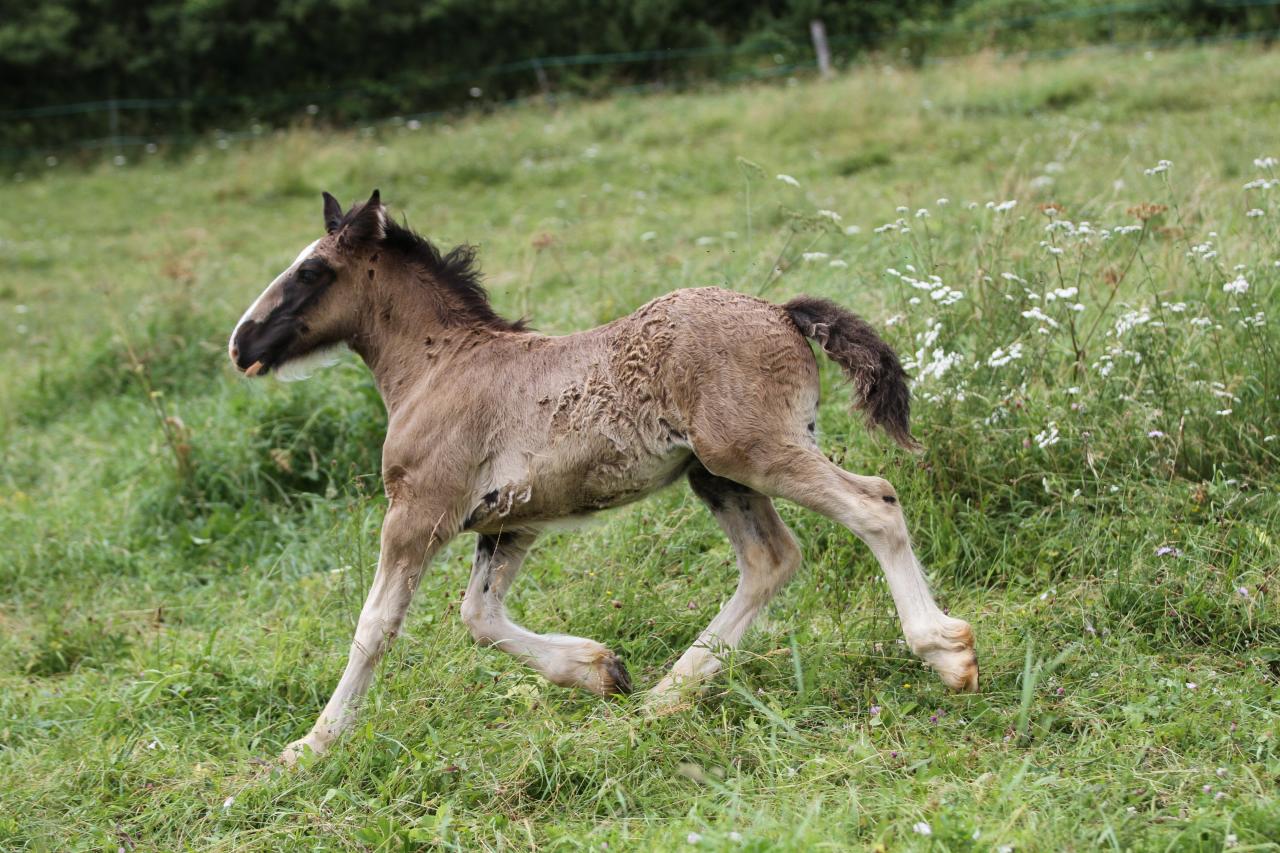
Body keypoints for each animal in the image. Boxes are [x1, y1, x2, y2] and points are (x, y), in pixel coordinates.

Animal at [227, 189, 977, 758]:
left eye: (312, 272)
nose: (241, 343)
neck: (441, 368)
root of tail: (781, 313)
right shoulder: (512, 521)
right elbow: (479, 615)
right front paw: (600, 669)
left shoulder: (418, 513)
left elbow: (376, 623)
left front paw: (312, 746)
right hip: (718, 474)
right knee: (772, 558)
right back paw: (669, 693)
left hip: (755, 453)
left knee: (876, 503)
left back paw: (946, 651)